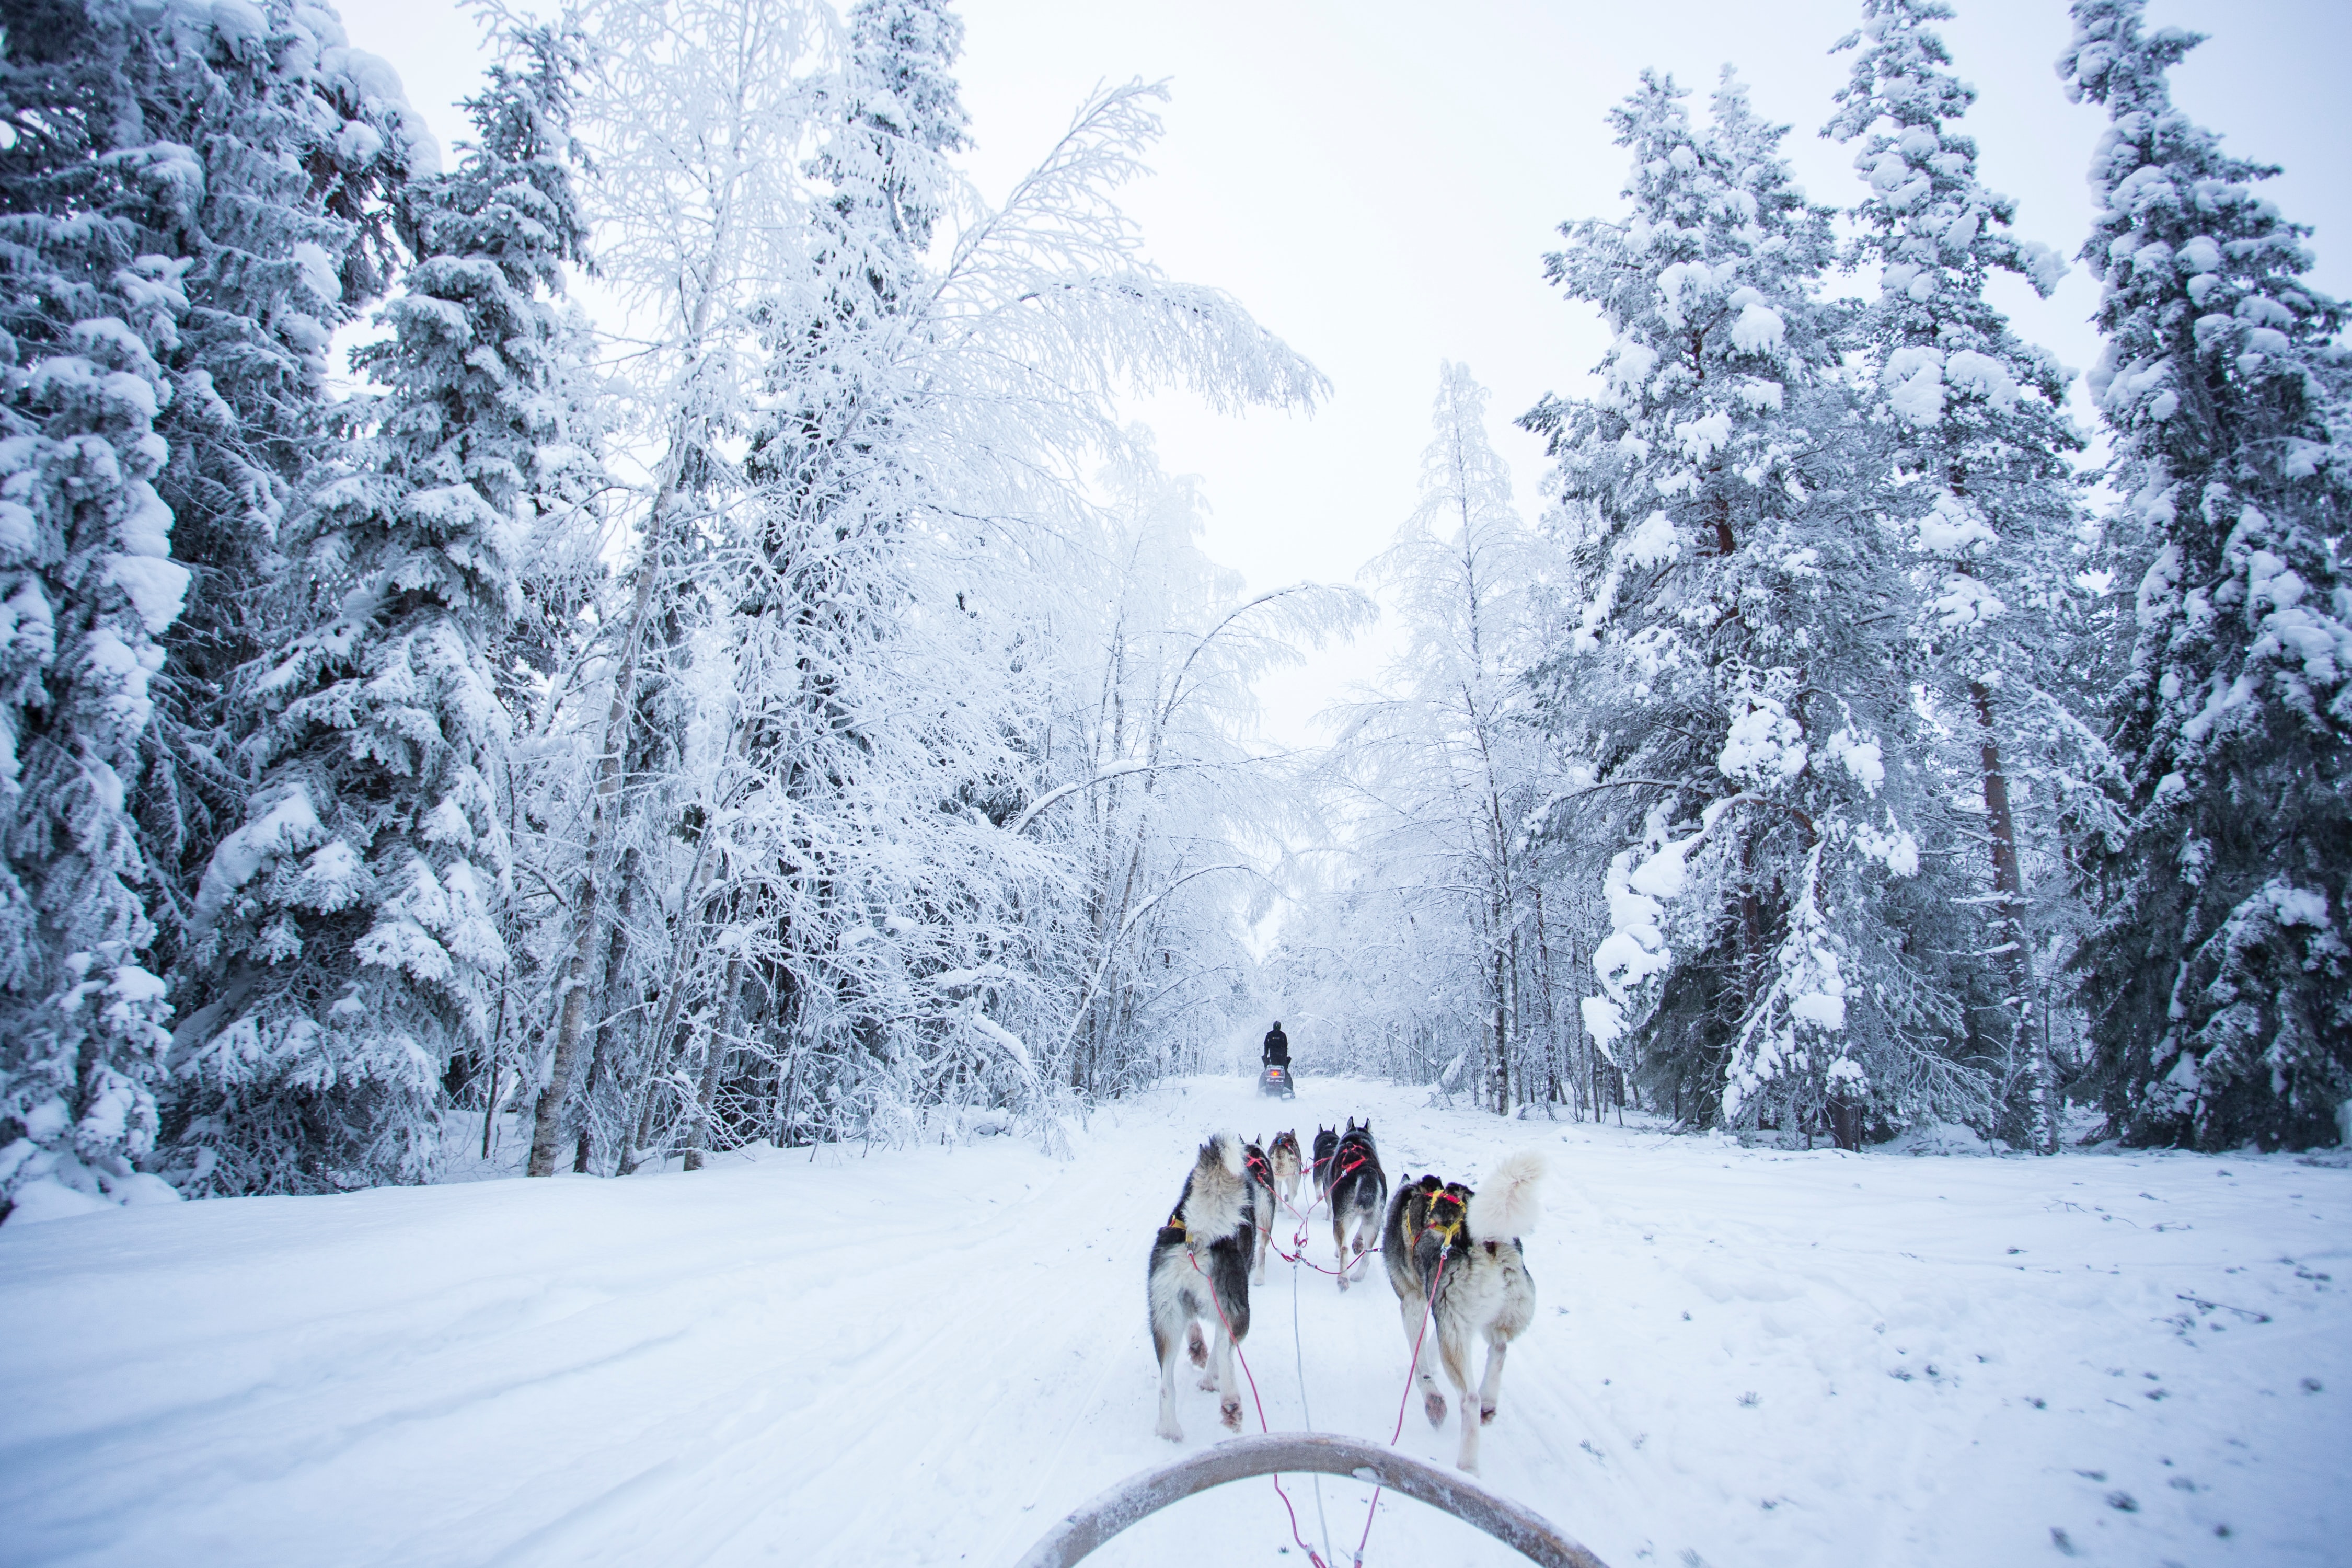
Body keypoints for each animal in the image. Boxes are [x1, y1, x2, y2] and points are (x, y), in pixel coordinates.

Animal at [1152, 1133, 1261, 1438]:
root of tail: (1199, 1237)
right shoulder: (1225, 1314)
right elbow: (1219, 1348)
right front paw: (1211, 1378)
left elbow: (1197, 1331)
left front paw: (1197, 1349)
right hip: (1239, 1313)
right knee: (1225, 1352)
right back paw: (1230, 1403)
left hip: (1165, 1320)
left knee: (1166, 1386)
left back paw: (1169, 1430)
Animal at [1270, 1128, 1308, 1213]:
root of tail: (1281, 1149)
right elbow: (1294, 1192)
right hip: (1294, 1176)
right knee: (1292, 1193)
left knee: (1278, 1194)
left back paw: (1280, 1209)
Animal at [1336, 1114, 1383, 1288]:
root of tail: (1366, 1168)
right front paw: (1357, 1243)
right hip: (1375, 1218)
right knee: (1367, 1253)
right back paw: (1358, 1275)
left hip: (1342, 1216)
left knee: (1343, 1248)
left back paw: (1343, 1279)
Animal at [1374, 1151, 1543, 1476]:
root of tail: (1484, 1239)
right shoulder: (1443, 1313)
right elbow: (1429, 1348)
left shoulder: (1413, 1302)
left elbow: (1421, 1366)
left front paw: (1433, 1403)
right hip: (1488, 1319)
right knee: (1499, 1348)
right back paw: (1489, 1403)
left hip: (1453, 1326)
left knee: (1469, 1399)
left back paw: (1467, 1466)